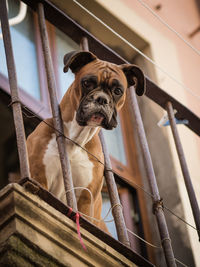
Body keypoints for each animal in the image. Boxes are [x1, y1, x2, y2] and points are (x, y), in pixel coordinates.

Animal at [27, 50, 145, 232]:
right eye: (87, 83)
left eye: (118, 90)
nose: (101, 99)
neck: (75, 139)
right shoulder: (39, 179)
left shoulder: (85, 200)